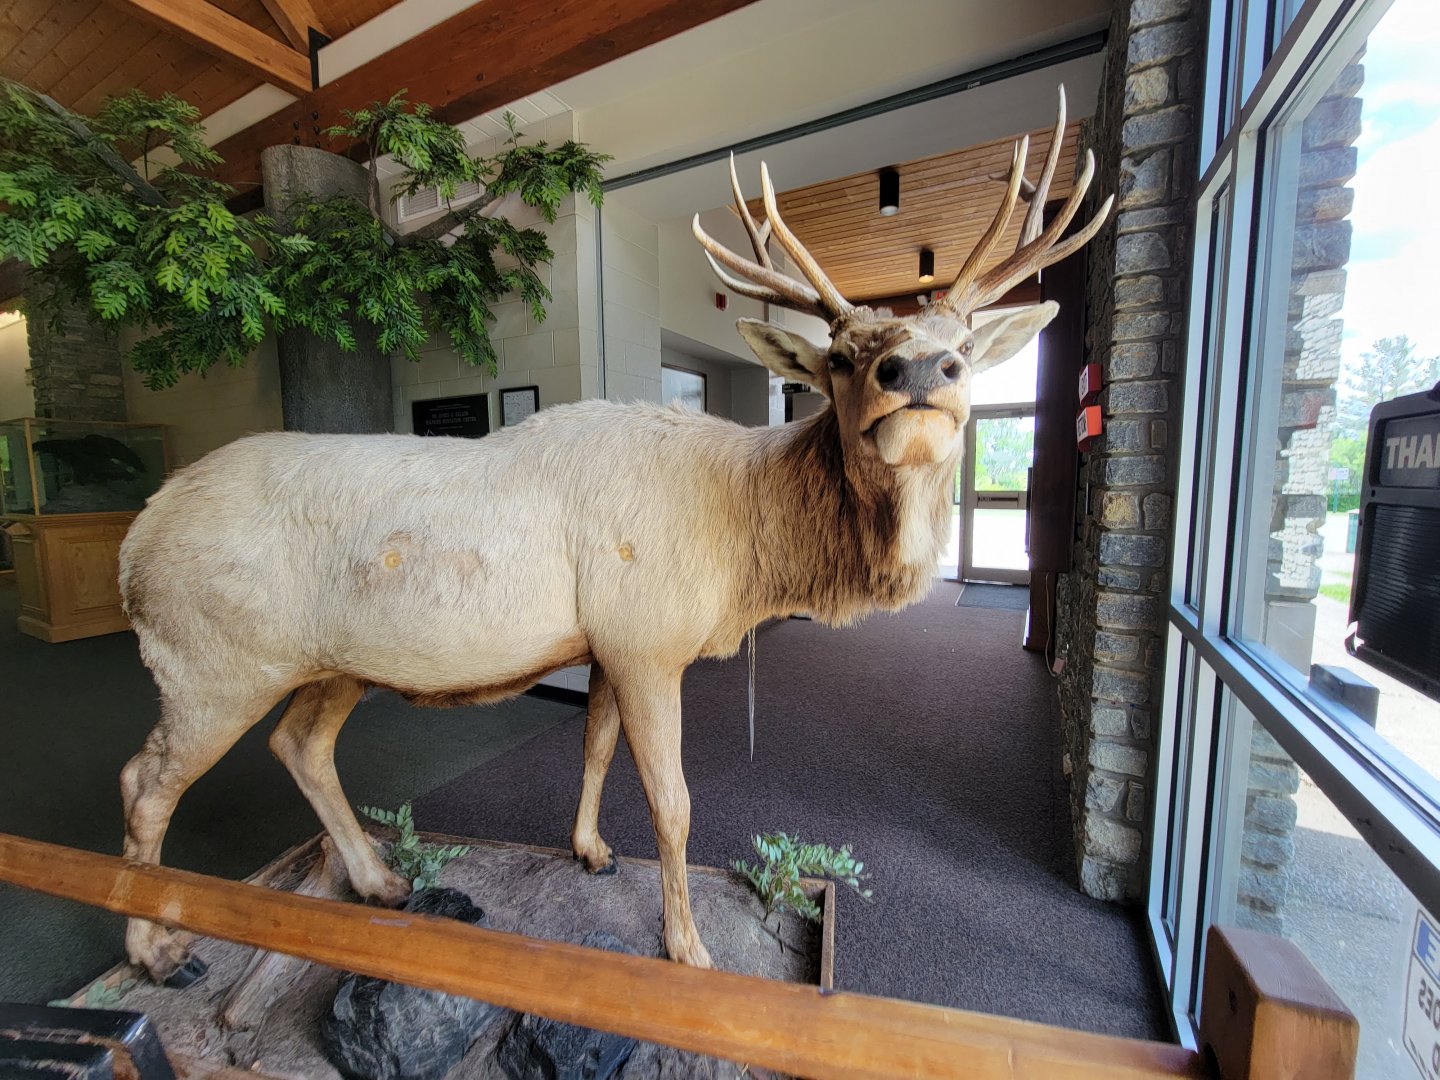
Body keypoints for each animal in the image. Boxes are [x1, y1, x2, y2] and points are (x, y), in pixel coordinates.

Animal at [116, 91, 1109, 985]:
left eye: (967, 345)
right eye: (837, 355)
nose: (919, 370)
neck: (747, 548)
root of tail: (133, 544)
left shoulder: (603, 643)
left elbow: (591, 748)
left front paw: (588, 850)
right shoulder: (646, 638)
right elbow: (673, 803)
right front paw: (689, 949)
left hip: (331, 664)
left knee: (300, 748)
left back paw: (381, 881)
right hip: (211, 663)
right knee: (146, 779)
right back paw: (157, 950)